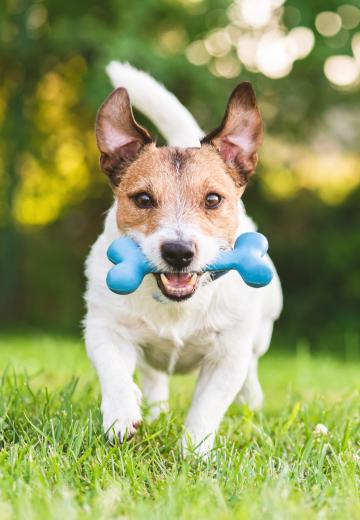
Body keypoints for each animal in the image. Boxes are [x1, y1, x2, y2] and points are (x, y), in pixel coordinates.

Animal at [83, 62, 282, 456]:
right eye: (143, 199)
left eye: (213, 199)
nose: (178, 252)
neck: (177, 305)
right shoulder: (103, 327)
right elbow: (114, 371)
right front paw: (121, 414)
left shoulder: (227, 355)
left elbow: (208, 405)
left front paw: (195, 451)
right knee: (153, 375)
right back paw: (153, 408)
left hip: (261, 332)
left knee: (252, 369)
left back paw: (252, 403)